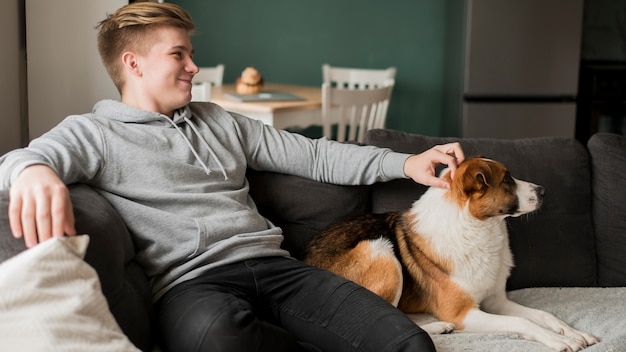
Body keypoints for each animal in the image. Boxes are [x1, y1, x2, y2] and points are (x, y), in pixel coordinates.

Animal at [304, 157, 596, 352]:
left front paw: (572, 332)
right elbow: (522, 322)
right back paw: (437, 327)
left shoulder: (496, 301)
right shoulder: (464, 314)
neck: (477, 228)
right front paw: (558, 340)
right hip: (381, 251)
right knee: (388, 313)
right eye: (506, 179)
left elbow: (543, 315)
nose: (544, 191)